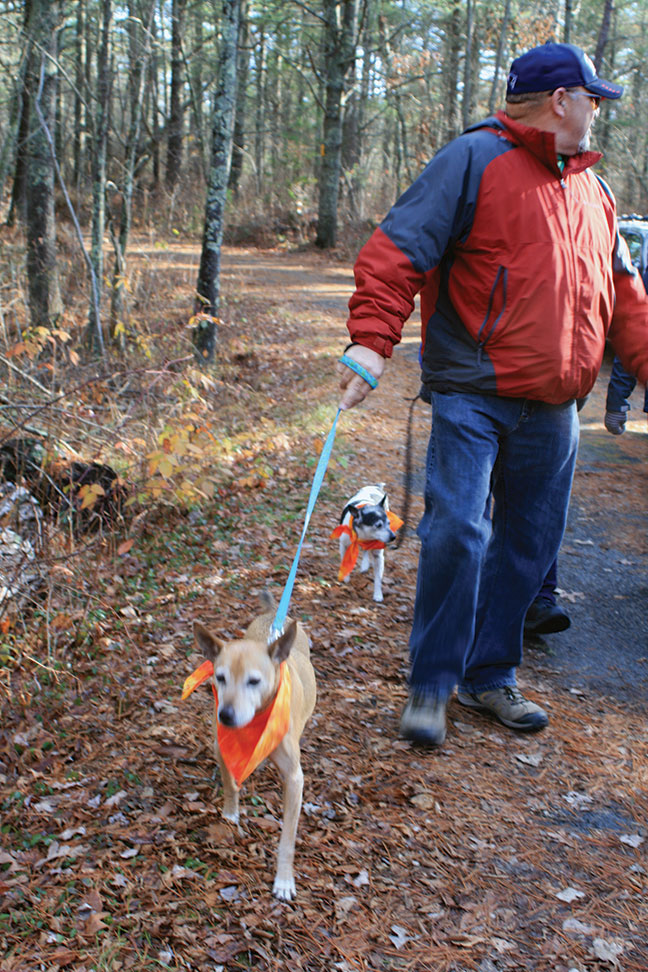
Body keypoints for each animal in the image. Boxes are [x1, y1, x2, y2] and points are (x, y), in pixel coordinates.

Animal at [191, 592, 316, 904]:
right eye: (220, 677)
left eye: (254, 681)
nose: (226, 715)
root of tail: (273, 616)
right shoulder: (221, 746)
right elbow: (230, 784)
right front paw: (230, 813)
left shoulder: (294, 779)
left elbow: (287, 838)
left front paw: (284, 879)